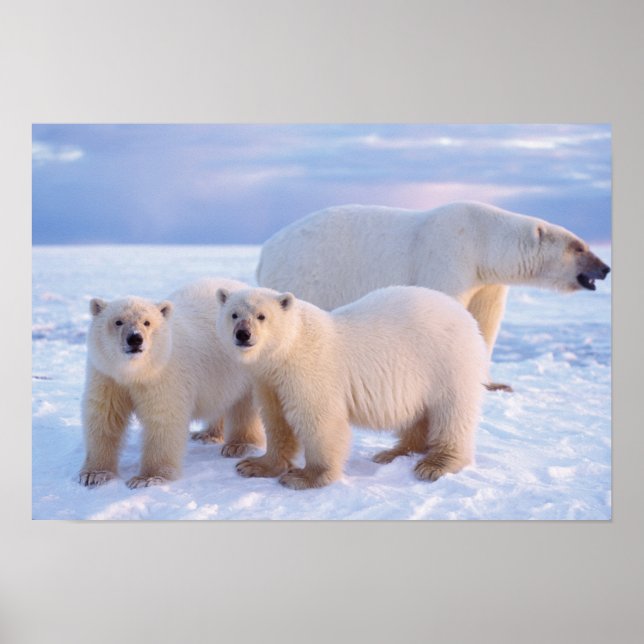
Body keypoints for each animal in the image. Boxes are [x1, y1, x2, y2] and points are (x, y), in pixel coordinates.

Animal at [79, 278, 264, 489]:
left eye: (147, 322)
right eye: (118, 321)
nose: (135, 338)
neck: (135, 372)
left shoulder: (164, 375)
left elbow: (163, 420)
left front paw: (148, 478)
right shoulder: (107, 375)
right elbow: (104, 417)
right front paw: (94, 474)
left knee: (245, 405)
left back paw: (239, 445)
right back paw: (207, 434)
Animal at [216, 285, 487, 490]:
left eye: (262, 316)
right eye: (234, 314)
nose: (243, 334)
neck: (287, 350)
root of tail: (464, 314)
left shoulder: (309, 372)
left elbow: (320, 422)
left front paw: (304, 477)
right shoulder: (269, 381)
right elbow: (276, 420)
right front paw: (253, 465)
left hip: (447, 363)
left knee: (451, 413)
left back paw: (435, 464)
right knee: (416, 415)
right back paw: (392, 453)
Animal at [256, 201, 611, 391]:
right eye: (579, 247)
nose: (605, 268)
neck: (483, 241)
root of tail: (265, 251)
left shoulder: (487, 282)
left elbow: (485, 323)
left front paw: (494, 383)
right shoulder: (450, 254)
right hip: (308, 274)